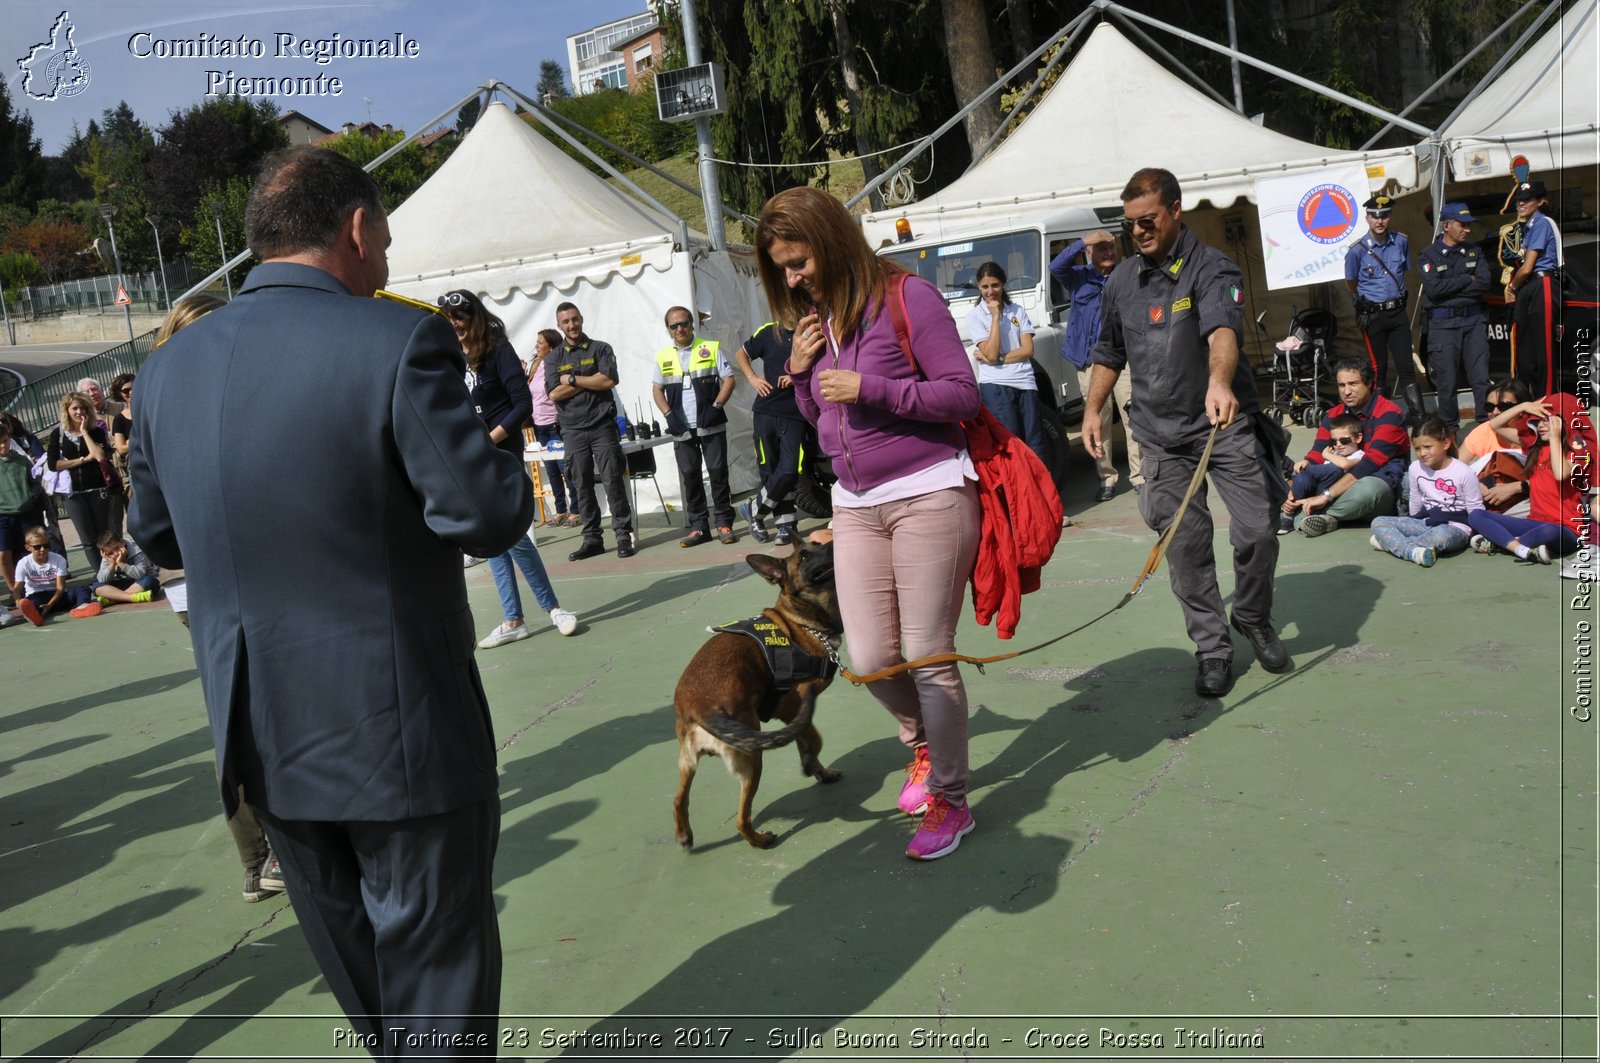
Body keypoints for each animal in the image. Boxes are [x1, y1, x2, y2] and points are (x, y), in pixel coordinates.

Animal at [672, 541, 844, 845]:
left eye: (816, 544)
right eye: (804, 556)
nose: (832, 541)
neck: (800, 622)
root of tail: (699, 708)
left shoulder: (795, 719)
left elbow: (806, 744)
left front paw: (819, 771)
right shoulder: (794, 709)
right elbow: (814, 740)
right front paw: (811, 763)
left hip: (688, 763)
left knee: (679, 800)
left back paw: (684, 835)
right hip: (753, 759)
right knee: (741, 819)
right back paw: (760, 840)